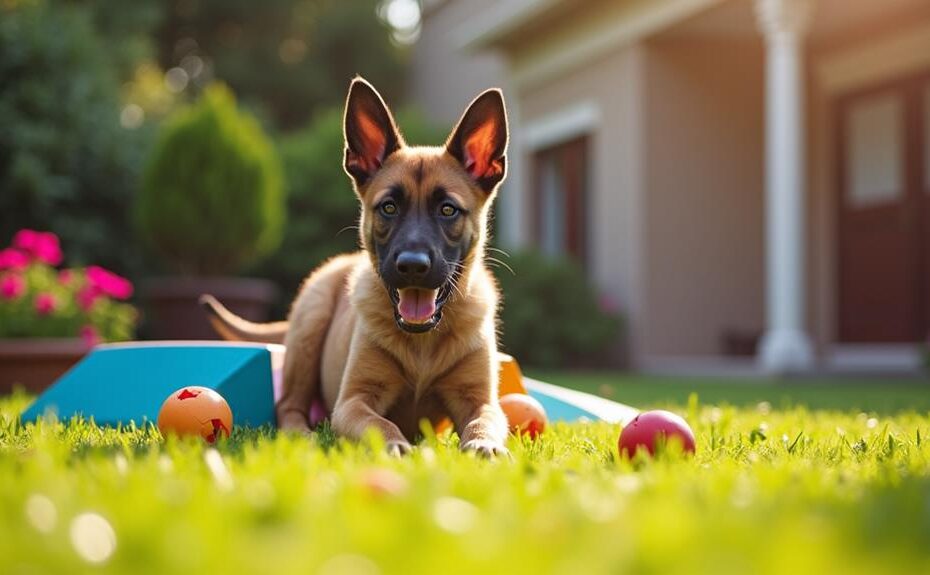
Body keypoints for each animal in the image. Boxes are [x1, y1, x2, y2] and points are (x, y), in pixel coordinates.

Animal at [201, 76, 508, 456]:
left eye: (448, 210)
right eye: (388, 207)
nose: (412, 266)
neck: (421, 344)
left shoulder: (480, 399)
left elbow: (486, 420)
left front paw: (484, 444)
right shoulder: (352, 401)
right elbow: (379, 423)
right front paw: (395, 445)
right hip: (309, 325)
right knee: (288, 405)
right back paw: (302, 435)